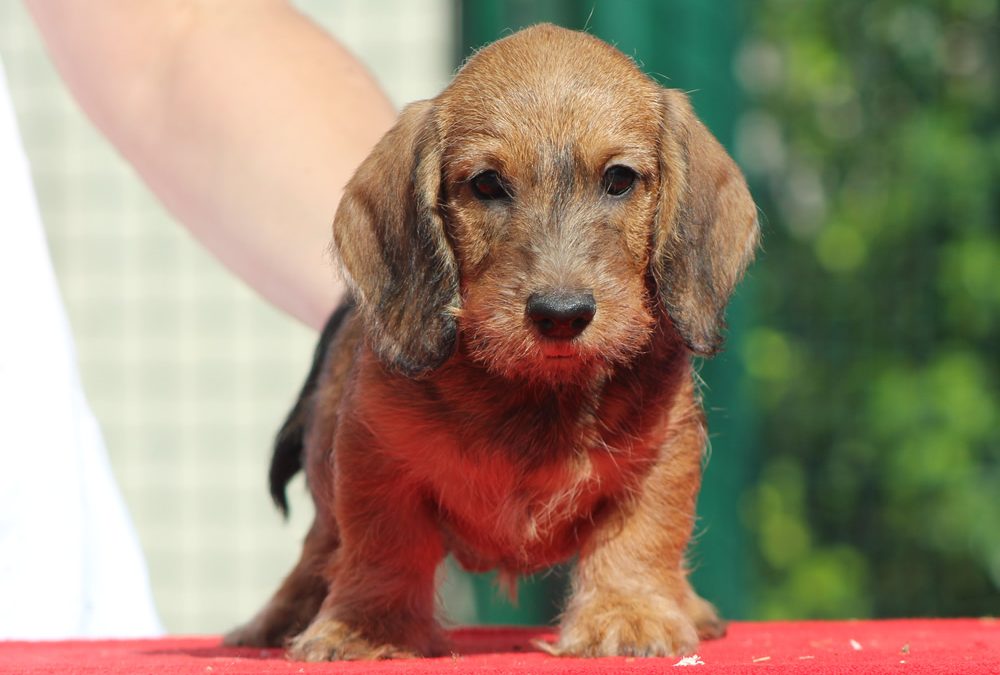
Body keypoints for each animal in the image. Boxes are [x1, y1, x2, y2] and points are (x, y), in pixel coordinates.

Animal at [225, 25, 756, 660]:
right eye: (486, 184)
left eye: (620, 179)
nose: (561, 315)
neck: (536, 391)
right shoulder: (373, 456)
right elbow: (382, 545)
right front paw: (370, 627)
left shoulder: (661, 456)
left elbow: (641, 536)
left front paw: (628, 615)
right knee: (320, 548)